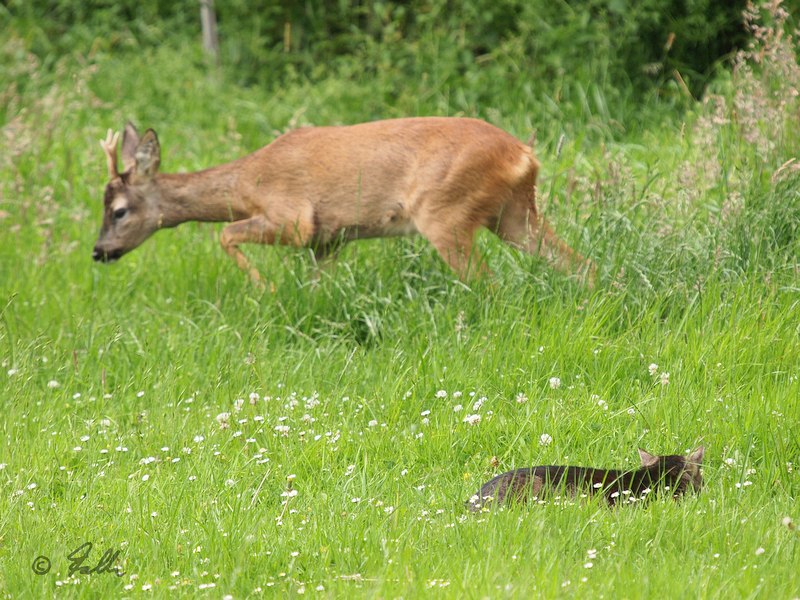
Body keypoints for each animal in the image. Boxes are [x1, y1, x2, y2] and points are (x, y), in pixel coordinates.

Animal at [94, 119, 592, 286]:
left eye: (119, 211)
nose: (99, 252)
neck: (245, 184)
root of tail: (523, 153)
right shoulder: (328, 240)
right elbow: (319, 288)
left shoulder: (294, 219)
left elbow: (225, 233)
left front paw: (264, 289)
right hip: (514, 213)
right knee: (579, 263)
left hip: (444, 212)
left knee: (488, 283)